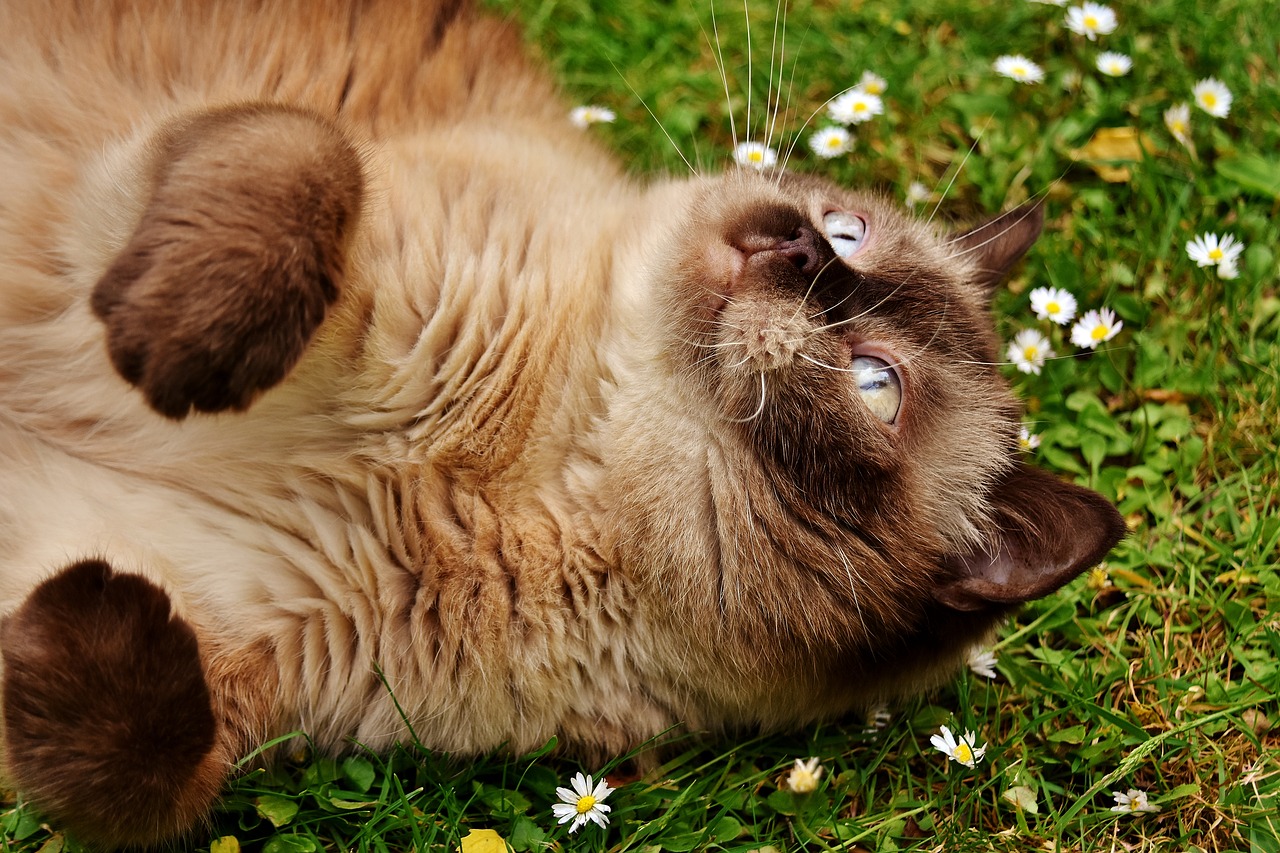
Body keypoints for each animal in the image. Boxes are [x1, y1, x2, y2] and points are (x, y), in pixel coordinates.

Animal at [0, 0, 1121, 840]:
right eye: (846, 231)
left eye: (875, 383)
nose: (800, 247)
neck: (528, 465)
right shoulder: (122, 207)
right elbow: (313, 156)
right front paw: (179, 354)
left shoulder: (234, 637)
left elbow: (144, 762)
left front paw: (92, 608)